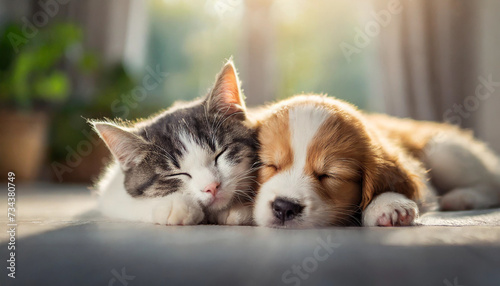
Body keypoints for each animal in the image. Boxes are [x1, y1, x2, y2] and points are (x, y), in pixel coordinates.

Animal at [92, 61, 260, 226]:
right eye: (175, 174)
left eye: (220, 153)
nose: (211, 187)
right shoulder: (112, 190)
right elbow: (126, 204)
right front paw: (174, 205)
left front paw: (239, 207)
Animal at [254, 95, 500, 228]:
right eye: (270, 165)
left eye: (330, 175)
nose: (284, 207)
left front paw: (387, 204)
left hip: (443, 151)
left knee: (490, 184)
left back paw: (462, 198)